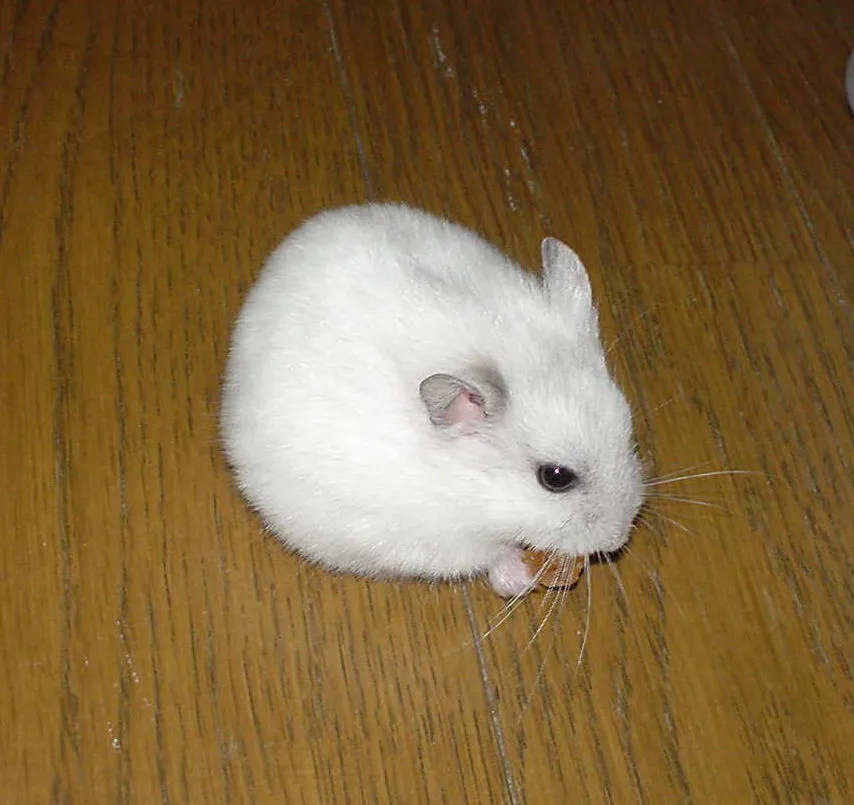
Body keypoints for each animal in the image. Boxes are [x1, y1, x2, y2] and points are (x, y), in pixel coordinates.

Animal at [220, 203, 643, 597]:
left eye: (629, 433)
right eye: (555, 477)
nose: (620, 538)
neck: (466, 487)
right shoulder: (434, 541)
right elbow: (490, 556)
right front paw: (522, 577)